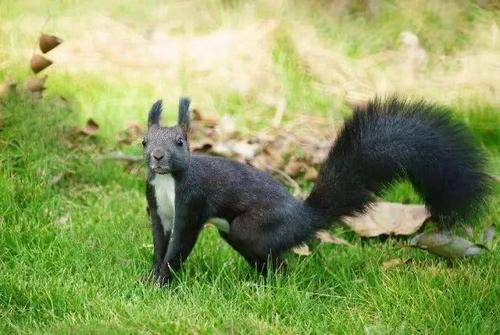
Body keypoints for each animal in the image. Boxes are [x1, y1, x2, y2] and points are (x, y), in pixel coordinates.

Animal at [143, 96, 490, 284]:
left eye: (180, 142)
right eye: (145, 141)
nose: (157, 156)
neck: (167, 182)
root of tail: (305, 217)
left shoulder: (192, 202)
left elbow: (179, 245)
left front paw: (162, 281)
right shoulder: (157, 207)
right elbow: (161, 243)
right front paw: (151, 277)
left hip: (250, 229)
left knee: (277, 261)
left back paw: (264, 286)